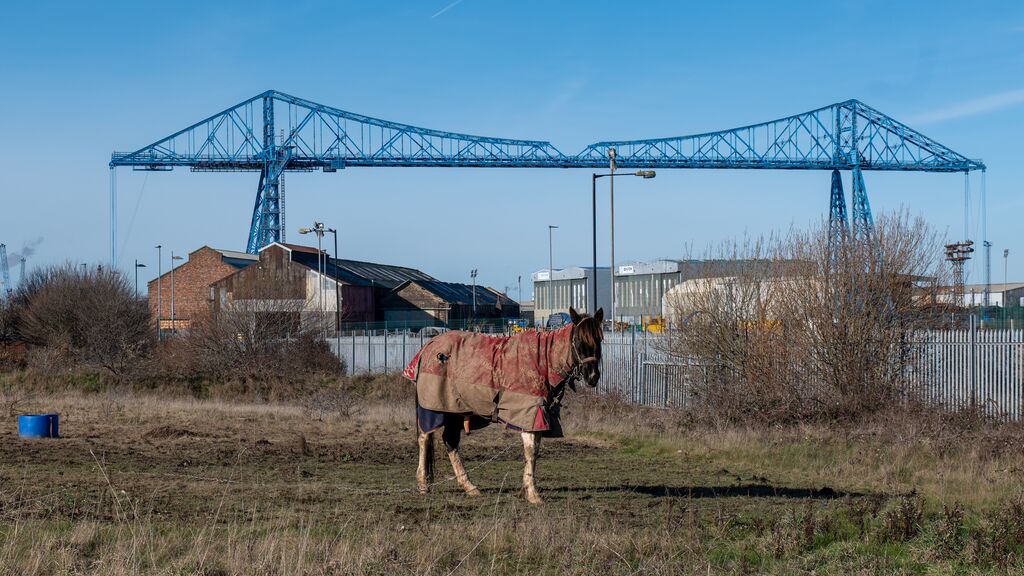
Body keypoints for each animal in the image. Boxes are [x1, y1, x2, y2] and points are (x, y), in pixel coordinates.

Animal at [402, 307, 603, 504]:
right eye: (578, 341)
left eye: (599, 339)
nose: (592, 377)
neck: (543, 361)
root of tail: (428, 346)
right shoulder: (529, 414)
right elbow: (531, 451)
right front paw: (533, 494)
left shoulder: (538, 415)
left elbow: (534, 450)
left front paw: (526, 489)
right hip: (434, 408)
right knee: (425, 438)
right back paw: (423, 484)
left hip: (455, 411)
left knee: (450, 441)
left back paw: (469, 486)